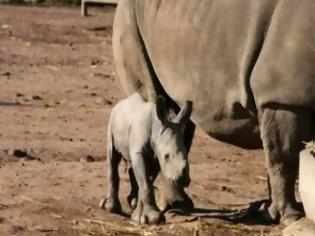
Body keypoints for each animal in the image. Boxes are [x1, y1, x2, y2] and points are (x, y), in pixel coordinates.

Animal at [100, 93, 193, 224]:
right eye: (166, 156)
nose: (182, 179)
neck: (157, 129)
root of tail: (121, 103)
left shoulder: (156, 156)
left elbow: (146, 181)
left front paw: (138, 217)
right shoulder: (139, 152)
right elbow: (146, 183)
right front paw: (153, 219)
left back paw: (132, 203)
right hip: (112, 120)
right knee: (112, 157)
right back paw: (110, 207)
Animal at [113, 0, 315, 225]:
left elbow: (275, 152)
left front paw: (269, 211)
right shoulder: (281, 97)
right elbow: (284, 156)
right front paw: (290, 217)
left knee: (175, 117)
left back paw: (177, 205)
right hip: (129, 18)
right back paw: (169, 209)